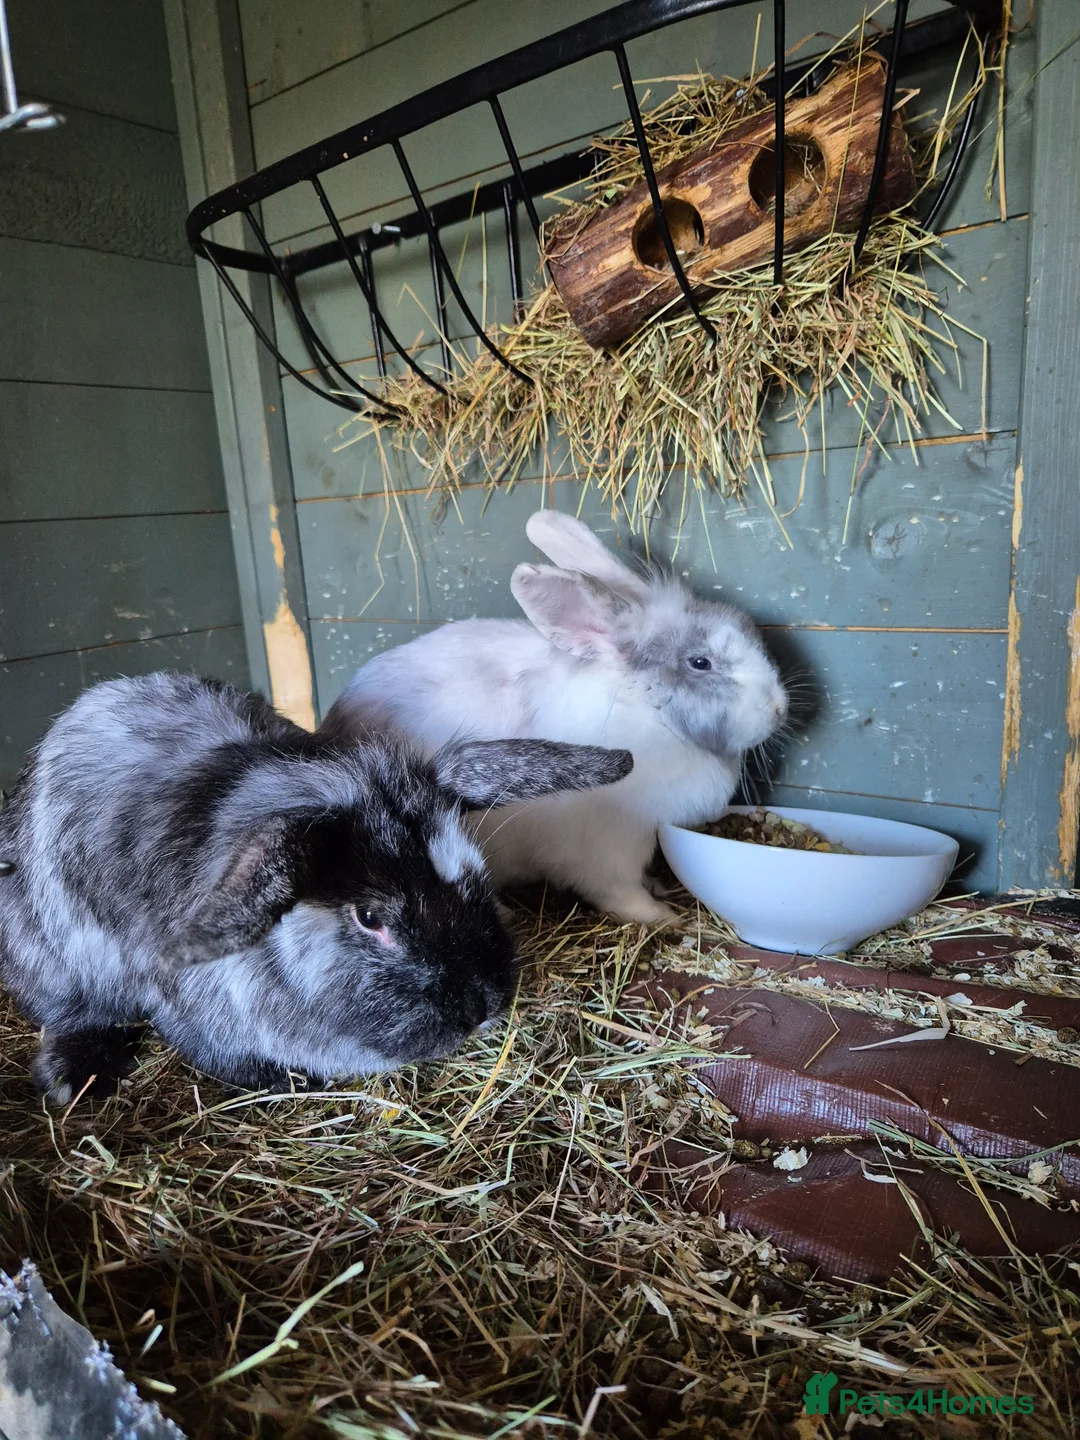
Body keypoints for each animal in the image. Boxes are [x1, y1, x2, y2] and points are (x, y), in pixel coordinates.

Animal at [0, 671, 632, 1104]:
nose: (482, 1005)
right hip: (56, 961)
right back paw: (72, 1079)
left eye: (475, 874)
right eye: (370, 918)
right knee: (68, 1016)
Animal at [321, 510, 788, 925]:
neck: (648, 712)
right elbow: (619, 891)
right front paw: (662, 916)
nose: (780, 709)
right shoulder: (611, 844)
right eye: (700, 662)